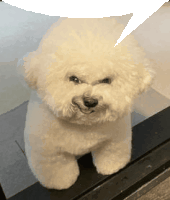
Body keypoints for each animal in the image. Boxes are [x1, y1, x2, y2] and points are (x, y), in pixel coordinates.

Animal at [17, 16, 155, 189]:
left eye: (106, 80)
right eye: (74, 79)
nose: (89, 101)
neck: (83, 125)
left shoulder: (114, 139)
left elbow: (112, 153)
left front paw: (111, 168)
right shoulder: (49, 153)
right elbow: (57, 170)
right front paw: (62, 184)